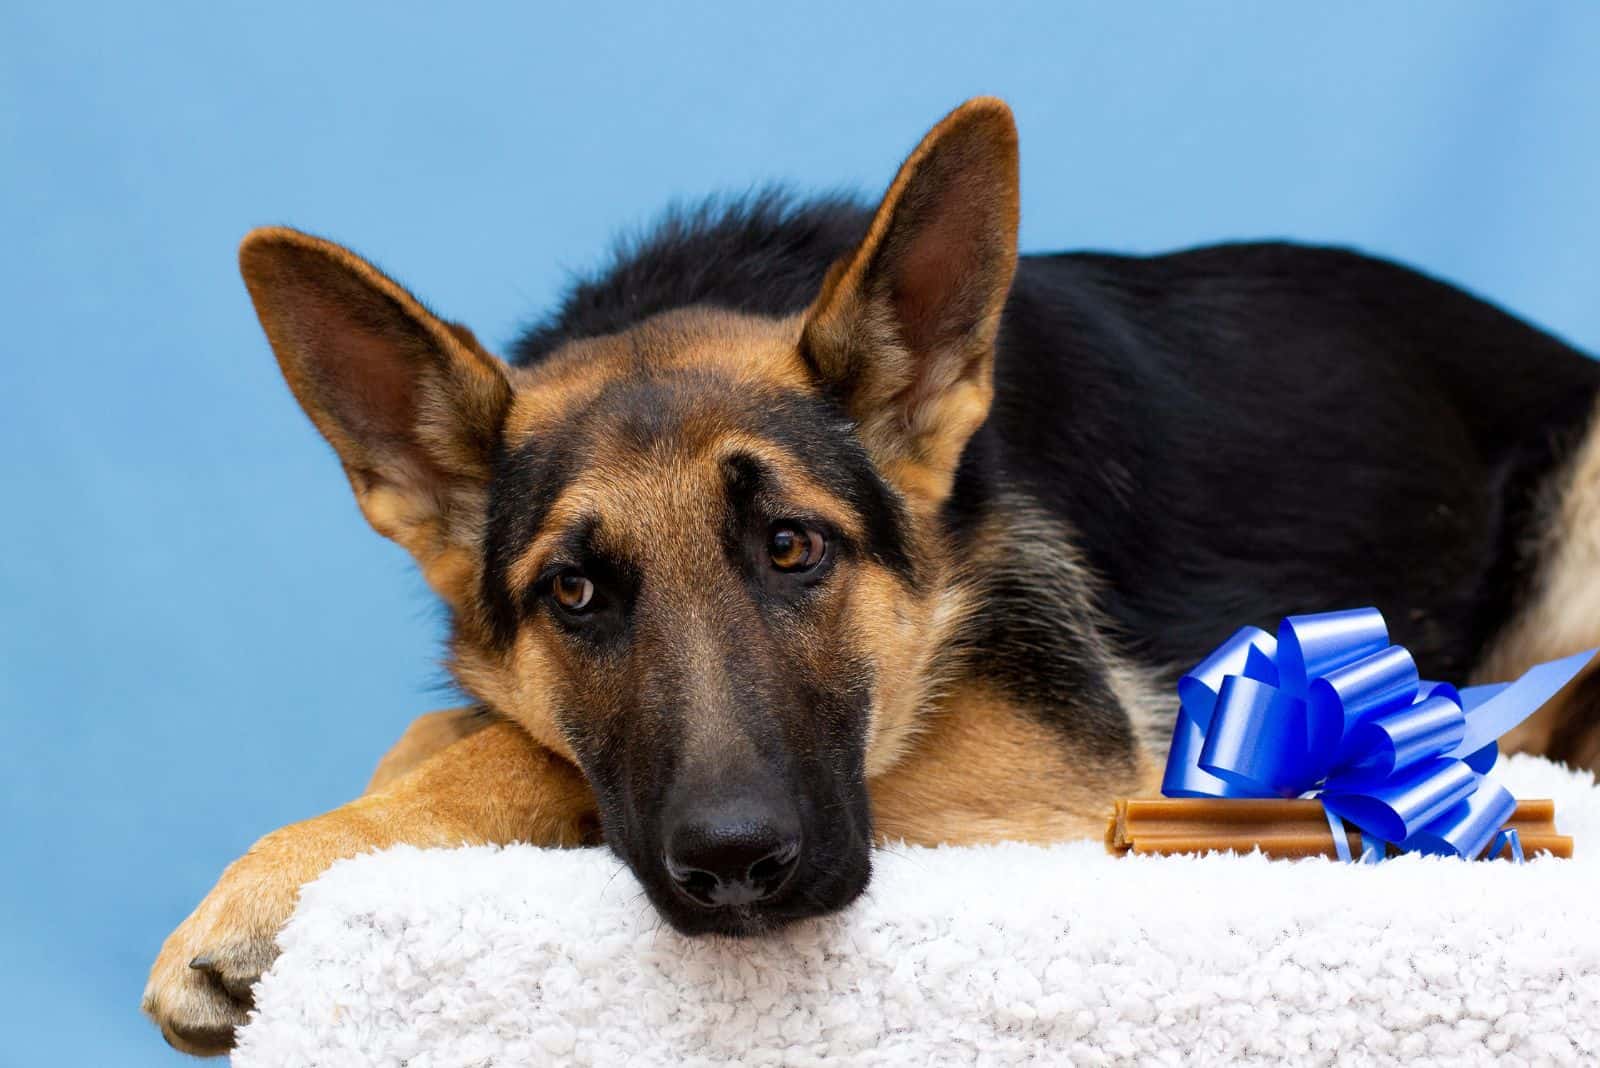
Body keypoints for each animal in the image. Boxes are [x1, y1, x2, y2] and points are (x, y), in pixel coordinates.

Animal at [144, 97, 1600, 1048]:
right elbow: (463, 726)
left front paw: (271, 878)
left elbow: (525, 753)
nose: (737, 868)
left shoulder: (1065, 781)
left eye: (794, 550)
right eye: (575, 595)